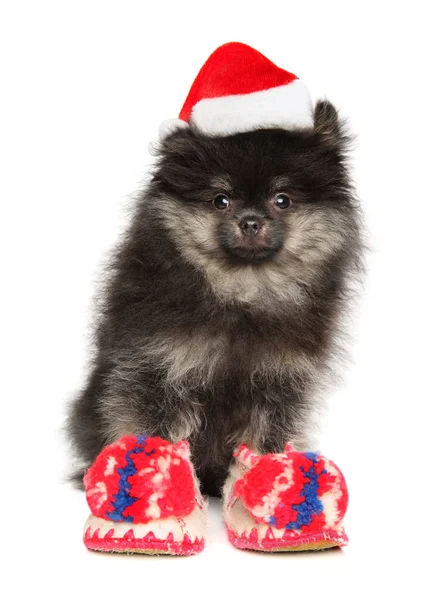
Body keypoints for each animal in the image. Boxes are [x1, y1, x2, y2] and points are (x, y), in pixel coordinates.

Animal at [67, 102, 362, 496]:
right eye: (221, 200)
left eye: (282, 200)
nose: (250, 221)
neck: (241, 293)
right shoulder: (158, 372)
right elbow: (157, 436)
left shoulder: (279, 385)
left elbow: (263, 442)